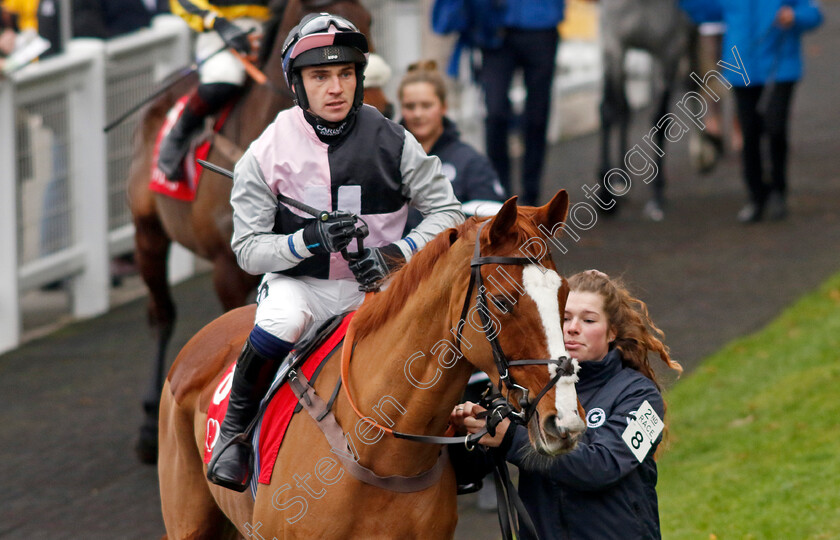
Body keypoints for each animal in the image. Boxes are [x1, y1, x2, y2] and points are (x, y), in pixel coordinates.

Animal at [126, 1, 382, 464]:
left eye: (369, 23)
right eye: (321, 71)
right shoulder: (227, 271)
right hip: (147, 233)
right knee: (161, 315)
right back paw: (148, 424)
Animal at [596, 0, 696, 221]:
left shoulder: (670, 51)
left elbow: (660, 120)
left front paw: (657, 196)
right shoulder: (613, 43)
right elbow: (610, 111)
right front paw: (605, 193)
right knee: (623, 109)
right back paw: (620, 181)